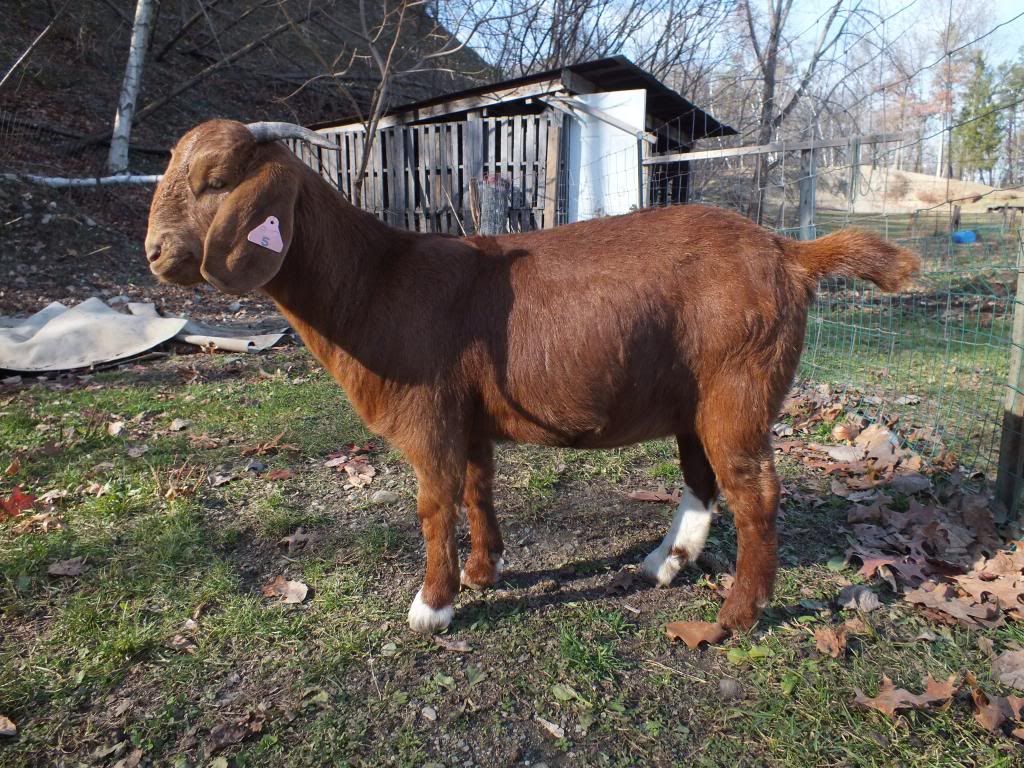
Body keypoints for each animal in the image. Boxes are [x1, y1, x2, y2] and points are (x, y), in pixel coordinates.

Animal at [145, 119, 920, 634]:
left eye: (216, 183)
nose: (154, 252)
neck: (377, 280)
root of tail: (791, 252)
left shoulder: (429, 417)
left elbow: (434, 504)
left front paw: (432, 605)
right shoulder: (470, 415)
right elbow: (477, 487)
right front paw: (484, 572)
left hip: (738, 390)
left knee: (754, 493)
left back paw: (736, 614)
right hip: (692, 401)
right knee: (702, 481)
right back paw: (663, 564)